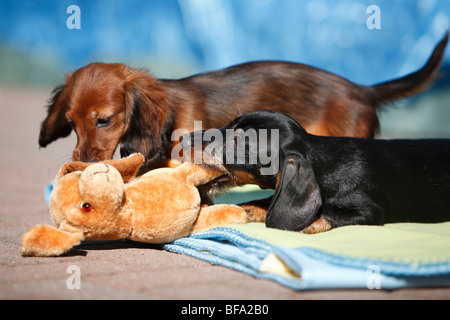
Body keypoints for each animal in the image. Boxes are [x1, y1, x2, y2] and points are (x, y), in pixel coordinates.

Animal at [180, 111, 450, 234]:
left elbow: (329, 211)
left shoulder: (369, 210)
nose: (182, 139)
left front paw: (307, 225)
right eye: (229, 124)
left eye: (238, 141)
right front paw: (249, 208)